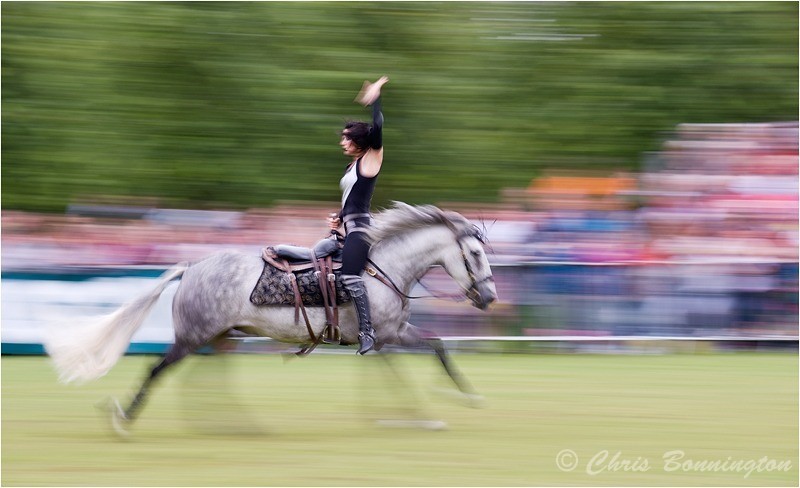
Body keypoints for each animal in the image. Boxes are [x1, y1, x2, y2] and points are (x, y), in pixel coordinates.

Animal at [44, 202, 498, 433]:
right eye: (475, 254)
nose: (490, 296)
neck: (381, 268)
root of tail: (191, 268)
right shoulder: (386, 336)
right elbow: (417, 362)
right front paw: (428, 413)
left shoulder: (390, 337)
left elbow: (434, 349)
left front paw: (457, 398)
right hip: (192, 338)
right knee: (158, 370)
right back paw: (125, 419)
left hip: (223, 338)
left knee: (204, 379)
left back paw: (234, 424)